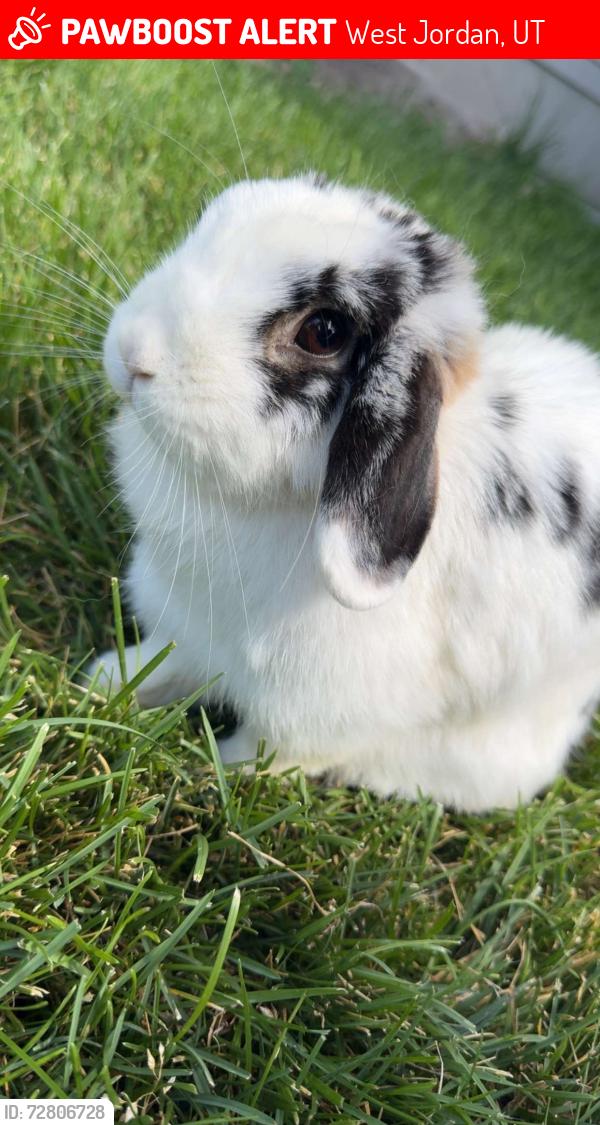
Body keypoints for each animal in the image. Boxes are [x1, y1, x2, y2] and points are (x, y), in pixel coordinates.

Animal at [88, 173, 600, 812]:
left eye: (323, 332)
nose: (134, 352)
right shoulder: (192, 633)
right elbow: (166, 665)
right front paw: (103, 684)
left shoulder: (304, 718)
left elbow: (262, 755)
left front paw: (215, 776)